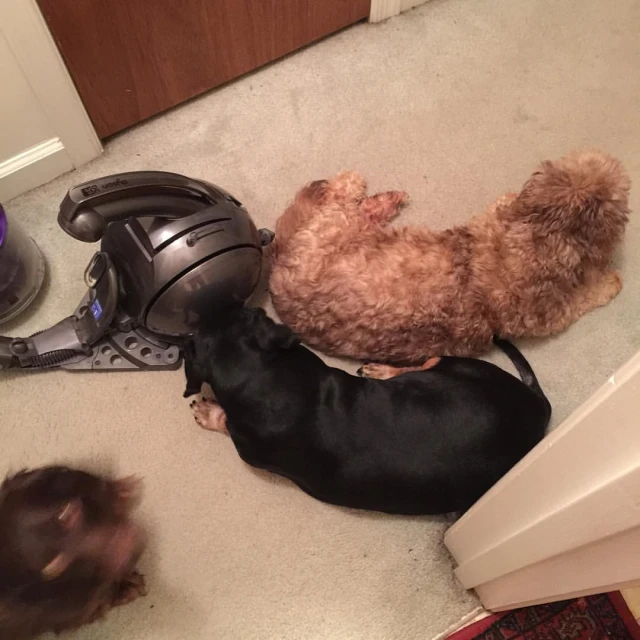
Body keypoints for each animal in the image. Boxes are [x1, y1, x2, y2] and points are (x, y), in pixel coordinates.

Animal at [184, 306, 552, 516]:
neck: (265, 378)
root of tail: (538, 406)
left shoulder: (247, 447)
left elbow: (225, 420)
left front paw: (207, 411)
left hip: (455, 365)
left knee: (429, 359)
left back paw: (383, 369)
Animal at [270, 148, 632, 362]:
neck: (544, 235)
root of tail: (278, 268)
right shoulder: (545, 316)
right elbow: (581, 300)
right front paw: (608, 283)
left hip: (346, 229)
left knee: (357, 209)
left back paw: (384, 201)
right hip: (332, 224)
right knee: (340, 194)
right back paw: (354, 182)